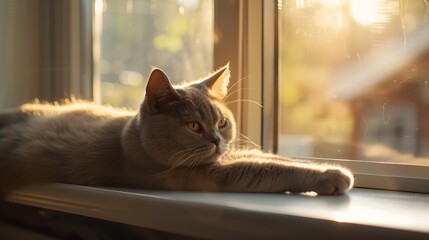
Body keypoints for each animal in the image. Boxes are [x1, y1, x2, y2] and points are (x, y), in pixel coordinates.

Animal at [0, 64, 352, 197]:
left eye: (222, 122)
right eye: (193, 125)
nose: (216, 140)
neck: (130, 140)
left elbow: (270, 157)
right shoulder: (208, 174)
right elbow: (268, 168)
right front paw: (333, 175)